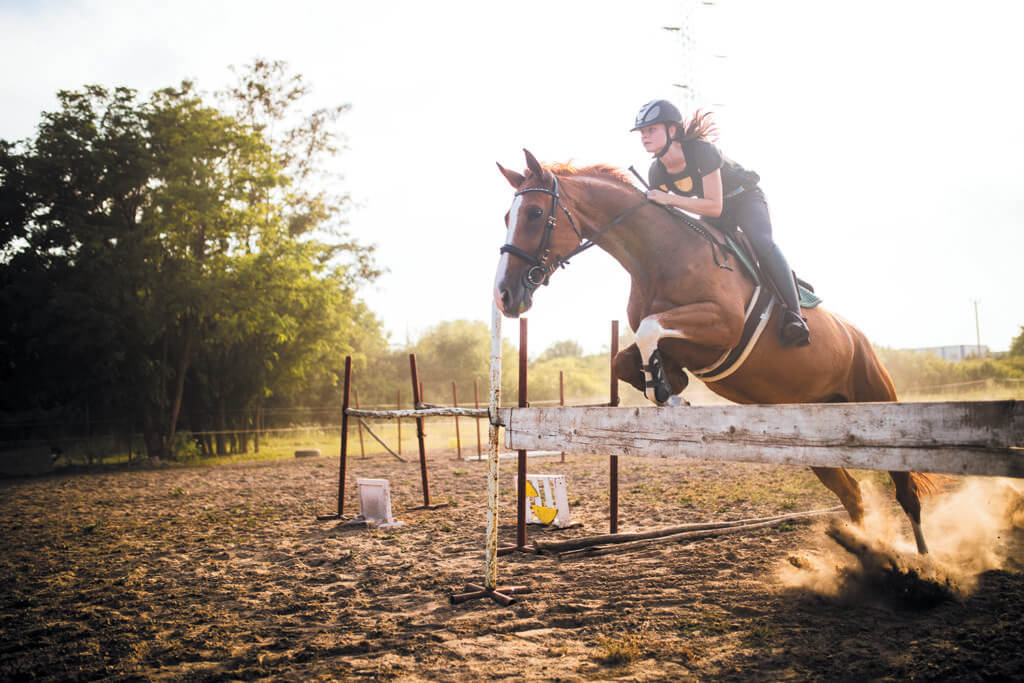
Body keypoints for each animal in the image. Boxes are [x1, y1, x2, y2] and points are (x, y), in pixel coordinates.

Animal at [493, 150, 937, 557]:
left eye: (534, 213)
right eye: (507, 216)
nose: (504, 296)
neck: (658, 255)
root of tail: (858, 337)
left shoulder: (723, 323)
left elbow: (651, 326)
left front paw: (666, 391)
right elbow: (629, 356)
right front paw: (665, 386)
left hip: (877, 401)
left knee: (905, 492)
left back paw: (923, 564)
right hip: (814, 436)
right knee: (852, 493)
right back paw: (866, 551)